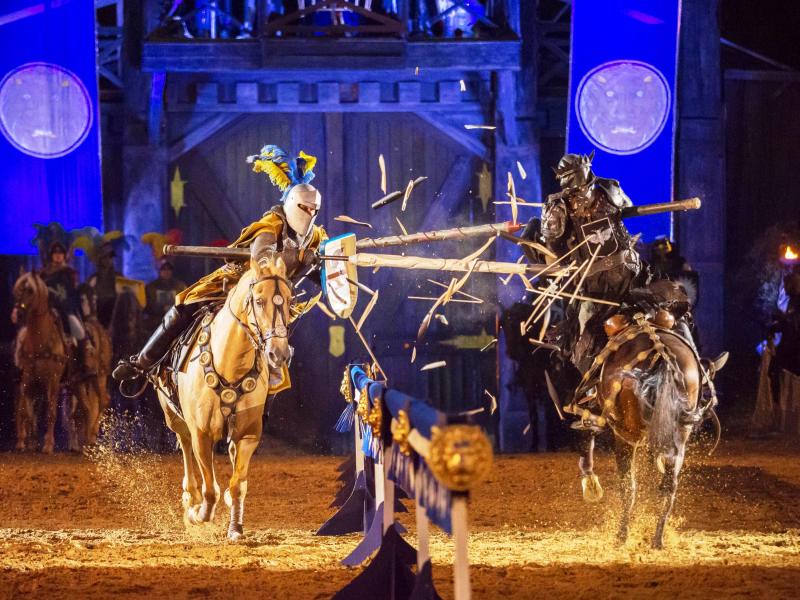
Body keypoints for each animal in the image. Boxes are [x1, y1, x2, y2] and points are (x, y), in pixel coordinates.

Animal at [12, 270, 68, 452]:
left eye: (30, 290)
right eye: (16, 290)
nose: (18, 314)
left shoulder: (53, 381)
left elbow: (51, 412)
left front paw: (48, 445)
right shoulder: (28, 380)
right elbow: (27, 412)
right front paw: (31, 442)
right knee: (21, 409)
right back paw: (22, 440)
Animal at [155, 255, 296, 540]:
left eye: (289, 300)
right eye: (259, 301)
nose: (279, 353)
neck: (230, 365)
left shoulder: (249, 434)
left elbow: (237, 483)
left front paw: (235, 527)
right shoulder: (201, 434)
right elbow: (211, 489)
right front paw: (196, 514)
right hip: (174, 418)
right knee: (185, 446)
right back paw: (191, 498)